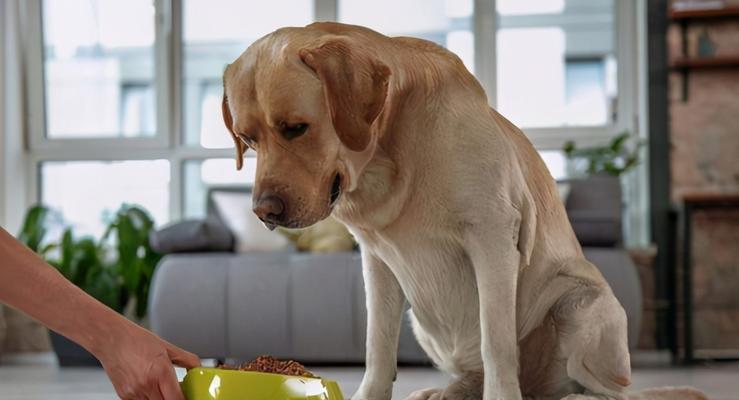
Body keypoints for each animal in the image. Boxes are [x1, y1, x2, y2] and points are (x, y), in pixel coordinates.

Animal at [223, 21, 708, 400]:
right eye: (247, 139)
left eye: (295, 128)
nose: (264, 212)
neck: (388, 158)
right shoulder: (376, 262)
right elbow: (377, 345)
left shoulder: (492, 240)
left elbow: (497, 342)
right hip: (422, 320)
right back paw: (446, 391)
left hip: (580, 303)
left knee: (606, 390)